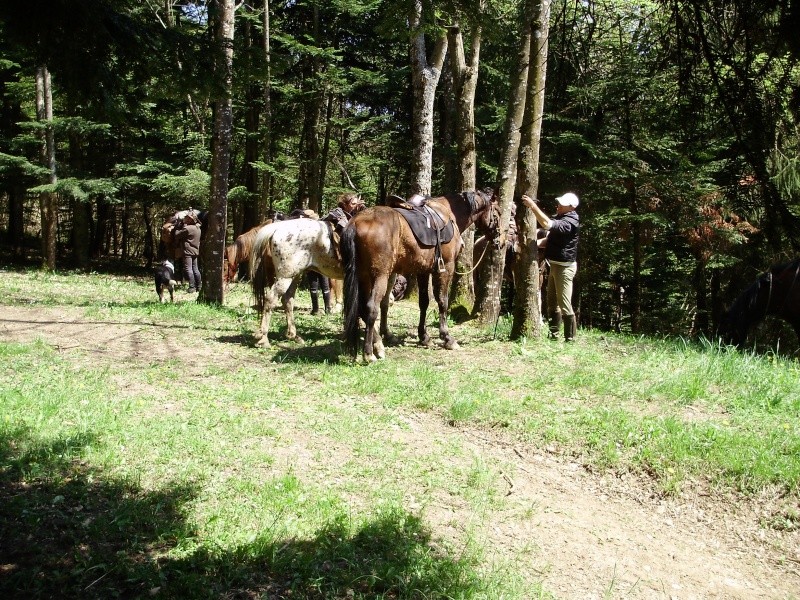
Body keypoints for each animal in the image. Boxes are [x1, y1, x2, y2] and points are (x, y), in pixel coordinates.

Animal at [340, 190, 500, 364]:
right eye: (497, 213)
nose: (499, 239)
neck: (449, 214)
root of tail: (355, 223)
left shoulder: (423, 271)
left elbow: (424, 303)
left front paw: (424, 337)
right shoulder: (446, 268)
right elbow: (442, 301)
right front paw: (447, 338)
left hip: (362, 277)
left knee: (362, 308)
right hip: (379, 276)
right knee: (371, 308)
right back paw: (370, 353)